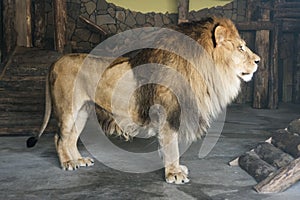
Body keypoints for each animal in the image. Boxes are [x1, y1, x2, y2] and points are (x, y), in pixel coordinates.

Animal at [26, 16, 260, 184]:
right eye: (240, 48)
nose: (259, 60)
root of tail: (57, 60)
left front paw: (177, 170)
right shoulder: (169, 115)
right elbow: (172, 147)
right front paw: (174, 175)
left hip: (83, 110)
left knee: (71, 138)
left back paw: (79, 160)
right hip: (68, 108)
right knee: (59, 137)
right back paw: (67, 163)